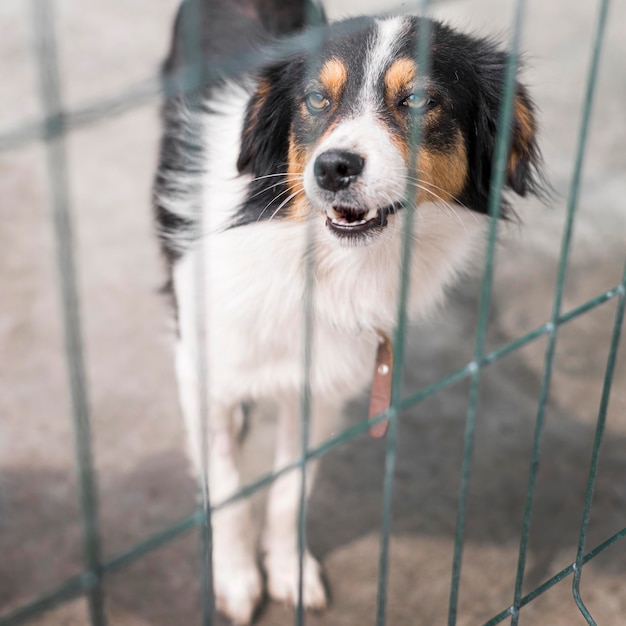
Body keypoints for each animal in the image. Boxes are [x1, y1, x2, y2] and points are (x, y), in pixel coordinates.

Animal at [152, 1, 540, 620]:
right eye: (316, 99)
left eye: (419, 100)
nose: (333, 167)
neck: (319, 261)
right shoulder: (203, 358)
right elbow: (228, 486)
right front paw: (235, 579)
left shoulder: (324, 377)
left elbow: (290, 491)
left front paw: (288, 571)